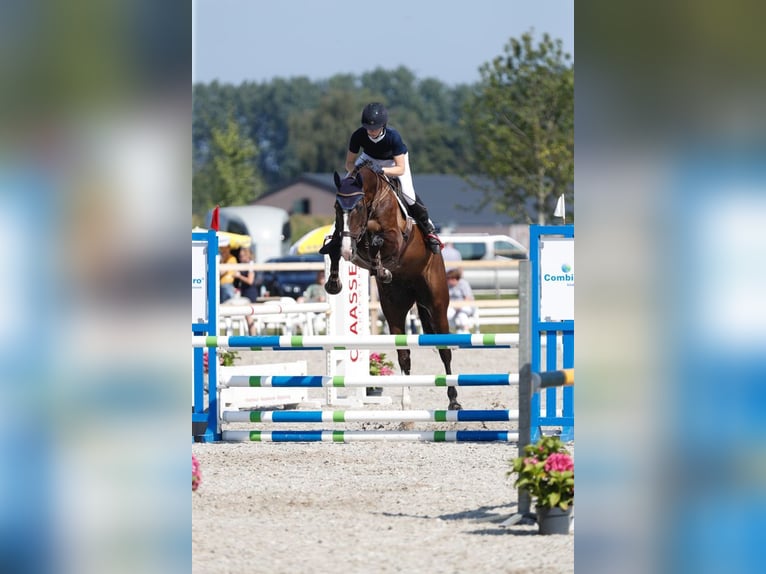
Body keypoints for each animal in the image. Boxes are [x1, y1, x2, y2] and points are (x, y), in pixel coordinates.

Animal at [318, 164, 462, 412]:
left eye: (357, 207)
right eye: (337, 207)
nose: (348, 249)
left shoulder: (394, 238)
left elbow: (379, 241)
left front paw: (380, 266)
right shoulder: (343, 238)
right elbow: (335, 247)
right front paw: (334, 283)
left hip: (437, 304)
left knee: (445, 351)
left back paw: (453, 400)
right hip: (394, 308)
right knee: (404, 355)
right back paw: (406, 403)